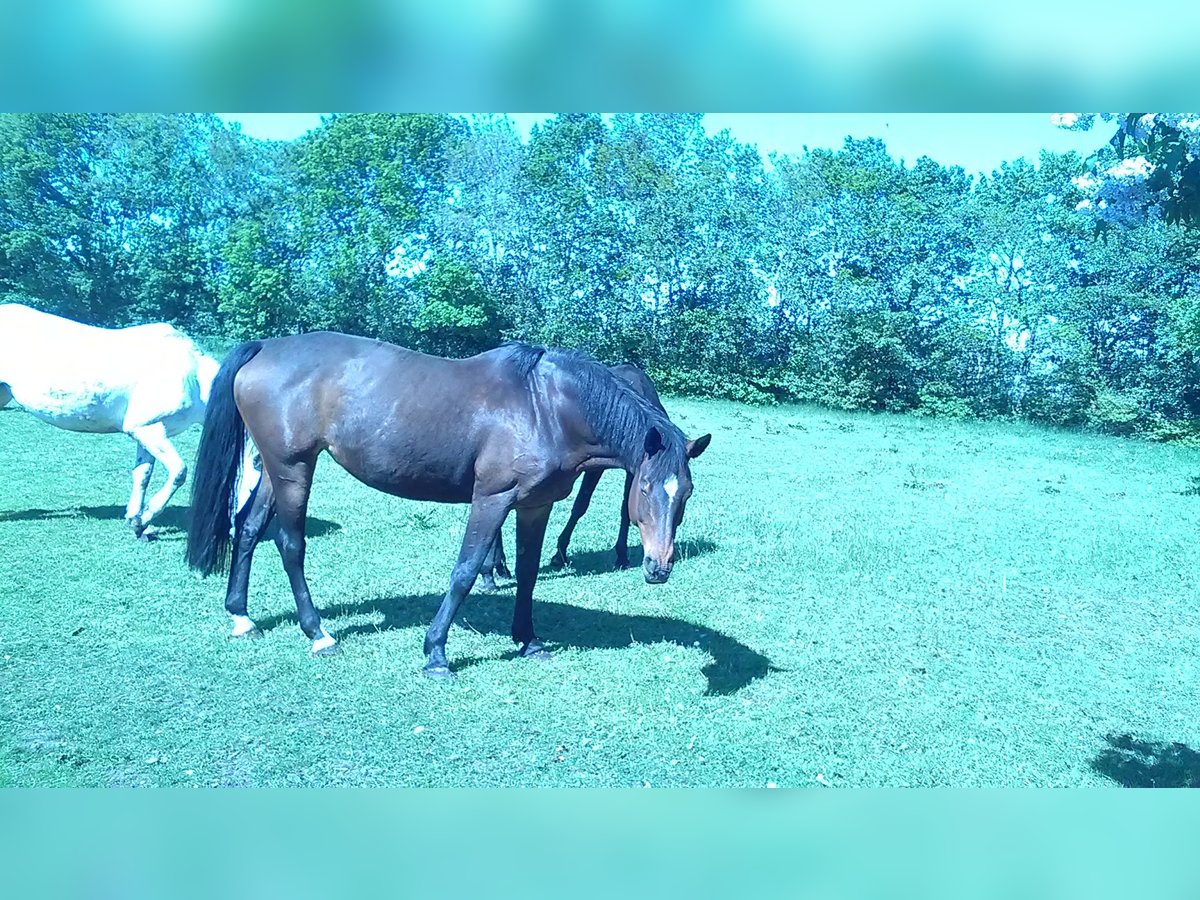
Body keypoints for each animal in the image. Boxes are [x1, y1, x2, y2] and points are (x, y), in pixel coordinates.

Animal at [0, 307, 220, 540]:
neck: (194, 376)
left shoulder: (146, 432)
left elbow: (142, 475)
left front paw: (136, 522)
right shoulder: (150, 430)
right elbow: (178, 472)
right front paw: (144, 518)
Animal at [472, 362, 700, 588]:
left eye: (688, 493)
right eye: (645, 489)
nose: (660, 567)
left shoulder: (632, 470)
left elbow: (625, 510)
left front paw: (621, 555)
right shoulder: (595, 468)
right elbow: (580, 505)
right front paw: (559, 554)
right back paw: (498, 567)